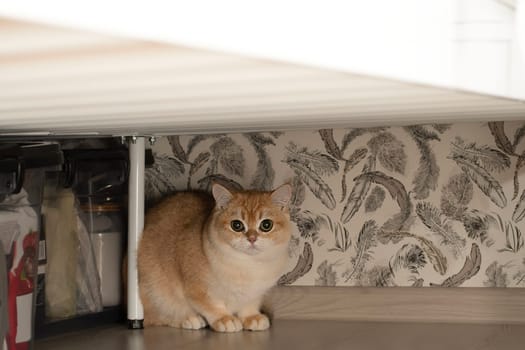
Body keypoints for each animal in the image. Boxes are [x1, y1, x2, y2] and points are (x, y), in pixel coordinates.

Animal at [136, 185, 290, 332]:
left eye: (266, 225)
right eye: (237, 225)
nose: (252, 238)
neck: (248, 264)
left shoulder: (255, 293)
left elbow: (248, 305)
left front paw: (251, 317)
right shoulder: (198, 290)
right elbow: (212, 306)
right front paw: (224, 319)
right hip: (155, 292)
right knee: (154, 317)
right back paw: (188, 319)